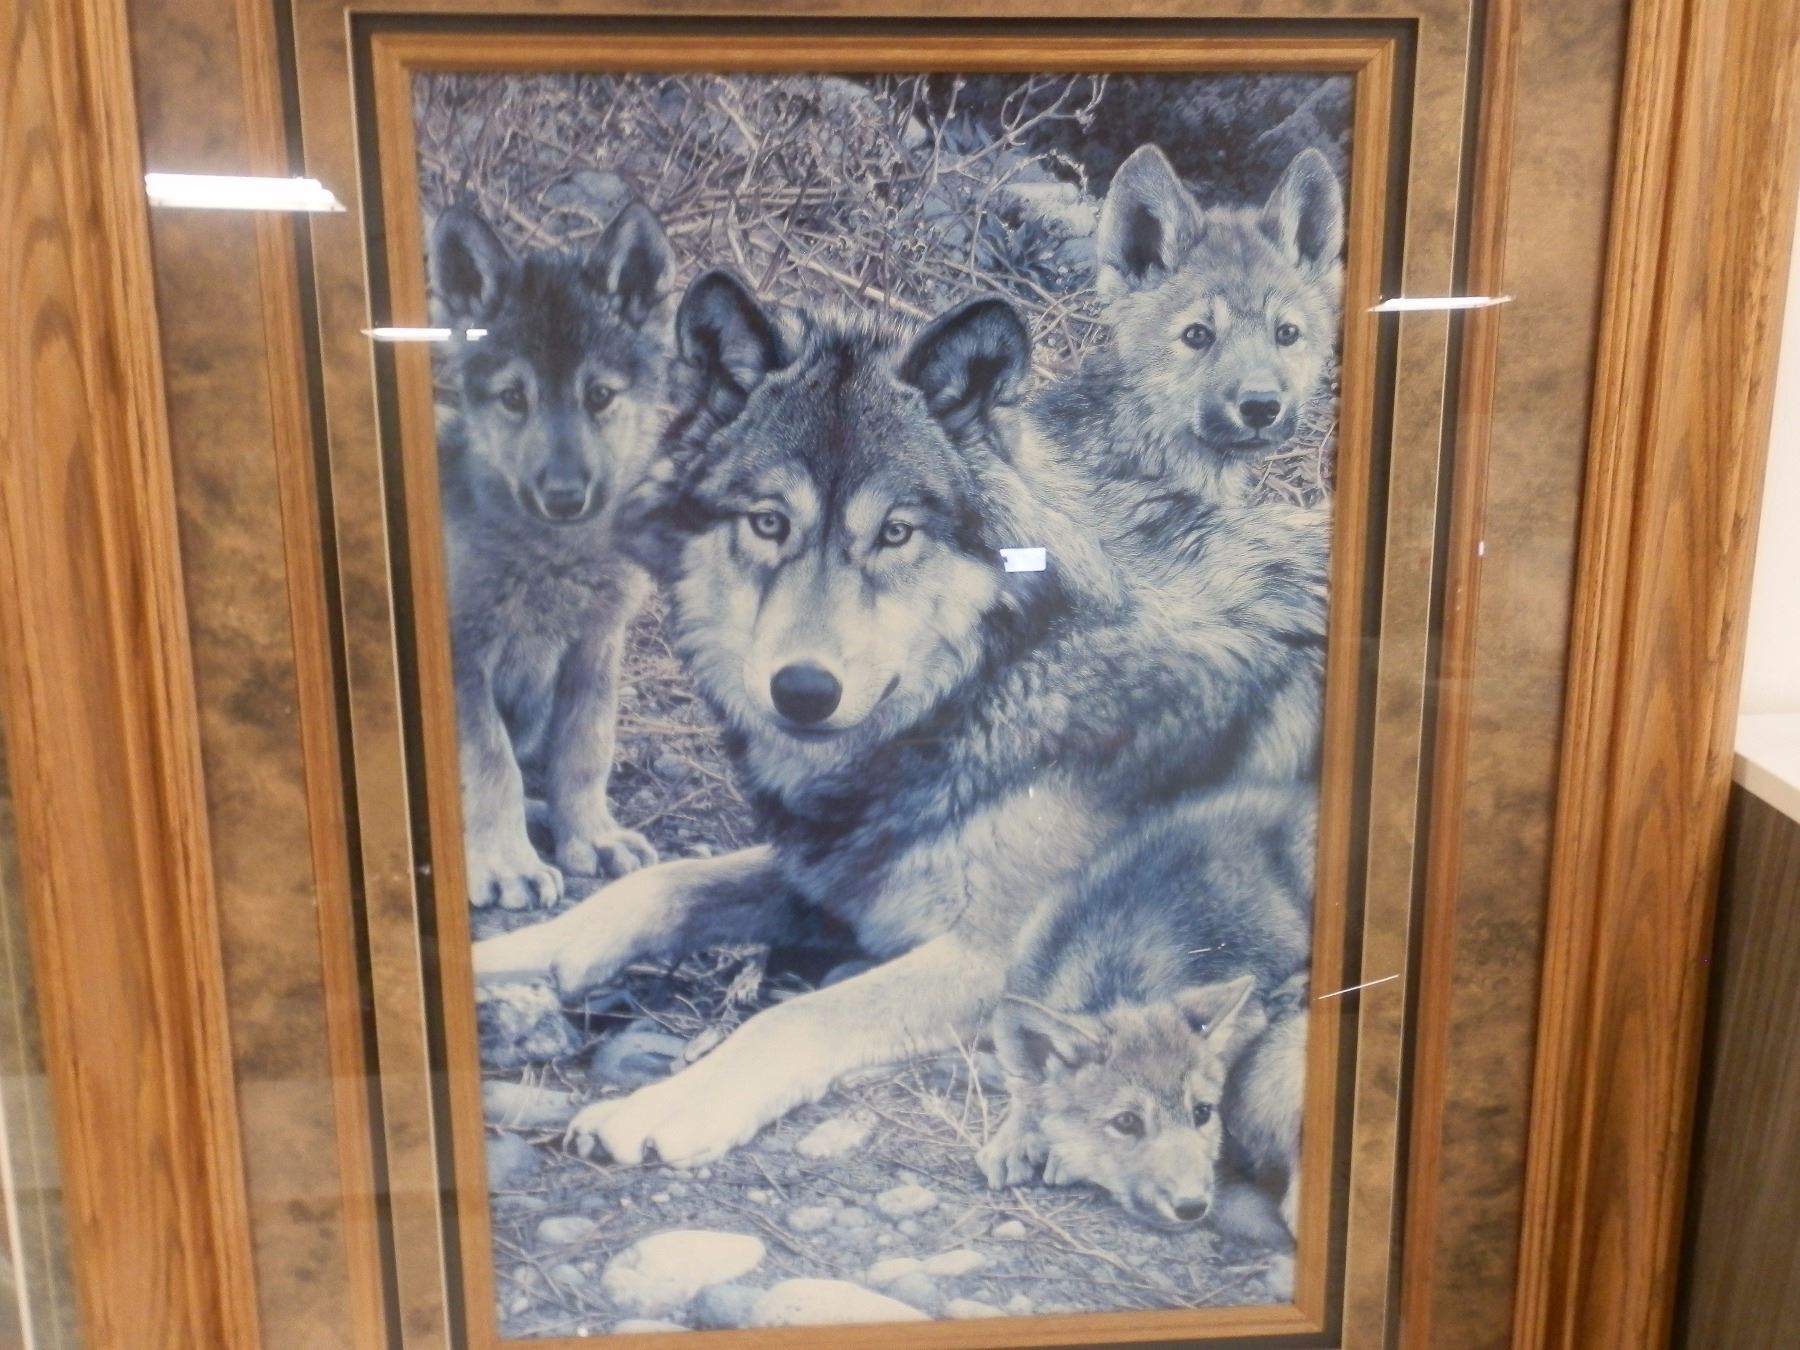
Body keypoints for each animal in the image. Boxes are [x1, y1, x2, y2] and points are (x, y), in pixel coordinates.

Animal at [430, 201, 672, 908]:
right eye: (515, 398)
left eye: (600, 396)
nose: (565, 496)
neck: (552, 559)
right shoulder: (462, 659)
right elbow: (491, 765)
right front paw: (507, 863)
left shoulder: (595, 647)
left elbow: (585, 750)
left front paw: (591, 836)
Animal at [470, 272, 1331, 1167]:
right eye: (769, 522)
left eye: (895, 533)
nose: (802, 690)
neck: (1000, 678)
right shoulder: (844, 871)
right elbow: (652, 888)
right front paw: (500, 954)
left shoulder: (997, 959)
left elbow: (797, 1016)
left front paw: (667, 1105)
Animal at [979, 786, 1315, 1235]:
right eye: (1126, 1122)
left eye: (1202, 1112)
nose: (1192, 1207)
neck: (1110, 969)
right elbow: (1023, 1089)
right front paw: (1013, 1138)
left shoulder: (1248, 1021)